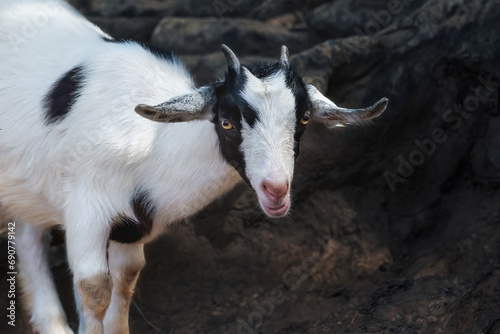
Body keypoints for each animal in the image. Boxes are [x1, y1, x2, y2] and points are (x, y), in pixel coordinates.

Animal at [0, 0, 386, 334]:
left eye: (304, 118)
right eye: (227, 122)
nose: (275, 190)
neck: (151, 142)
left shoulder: (133, 227)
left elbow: (126, 280)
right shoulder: (86, 208)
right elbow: (94, 288)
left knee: (29, 238)